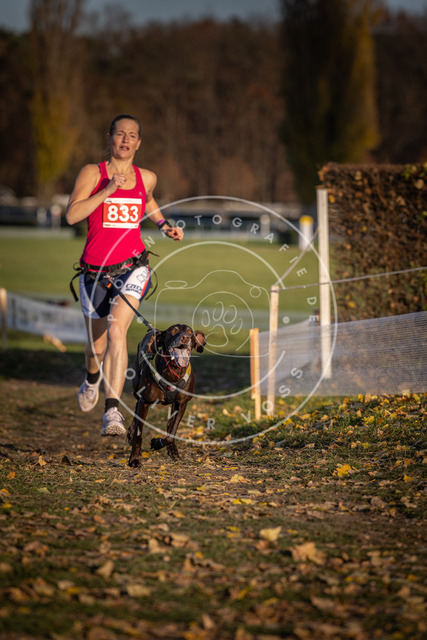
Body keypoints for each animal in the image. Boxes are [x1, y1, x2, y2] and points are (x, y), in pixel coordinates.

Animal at [127, 324, 206, 467]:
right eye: (173, 331)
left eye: (190, 332)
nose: (185, 338)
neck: (173, 372)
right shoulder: (145, 402)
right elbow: (138, 434)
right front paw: (134, 459)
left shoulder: (182, 404)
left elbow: (171, 433)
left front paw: (158, 443)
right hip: (136, 387)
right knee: (136, 407)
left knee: (169, 425)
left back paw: (172, 449)